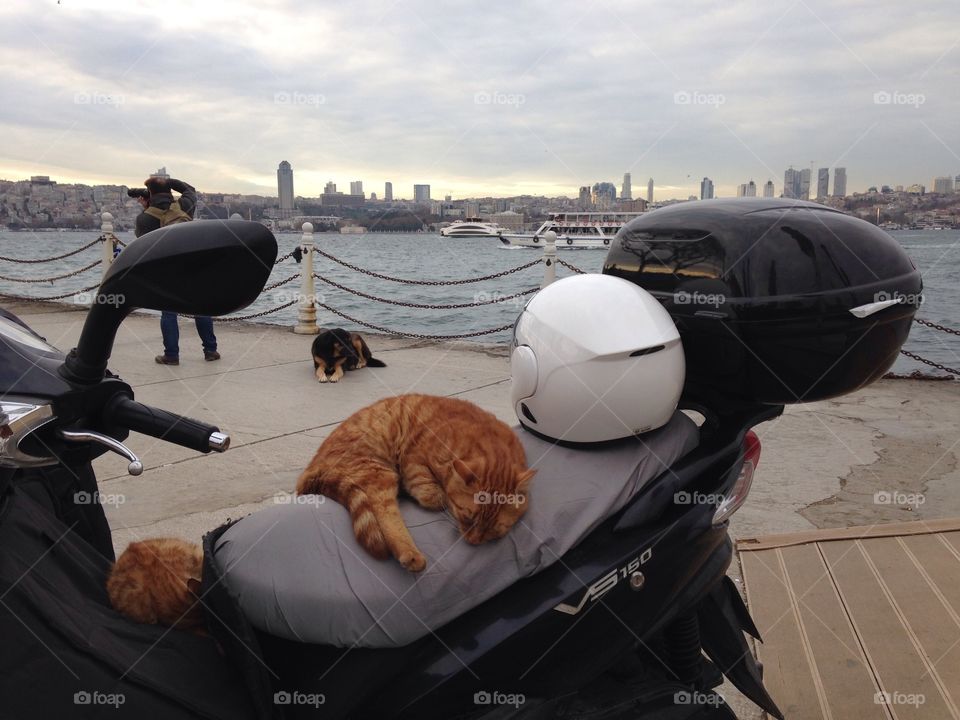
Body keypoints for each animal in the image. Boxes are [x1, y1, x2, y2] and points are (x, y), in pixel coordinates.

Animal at [296, 394, 536, 572]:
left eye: (495, 530)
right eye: (467, 517)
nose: (474, 542)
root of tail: (312, 468)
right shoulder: (413, 459)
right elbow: (434, 496)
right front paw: (439, 495)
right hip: (379, 471)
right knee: (384, 512)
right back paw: (410, 554)